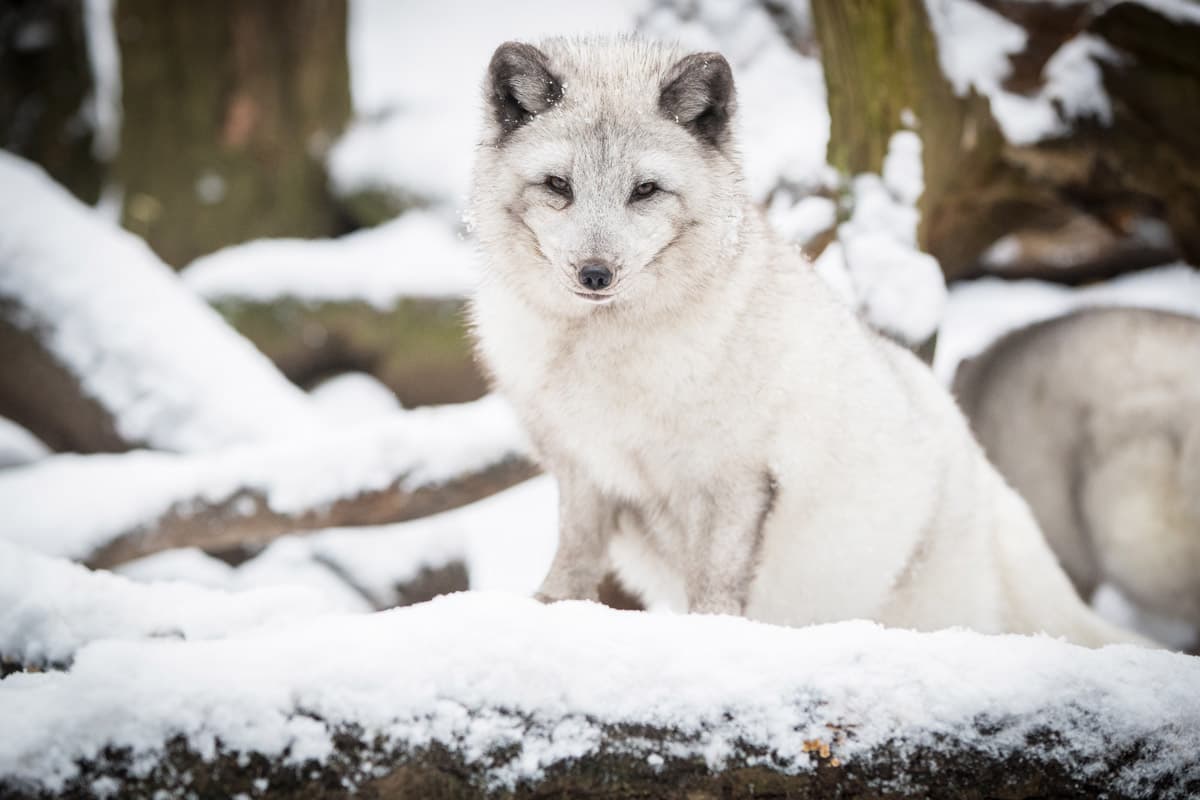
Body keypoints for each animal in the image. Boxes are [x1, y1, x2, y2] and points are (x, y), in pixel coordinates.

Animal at [468, 38, 1142, 652]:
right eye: (558, 185)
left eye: (645, 190)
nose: (595, 275)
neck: (601, 351)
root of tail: (980, 463)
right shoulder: (581, 466)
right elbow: (575, 556)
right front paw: (549, 610)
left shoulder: (733, 475)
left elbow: (716, 586)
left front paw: (709, 639)